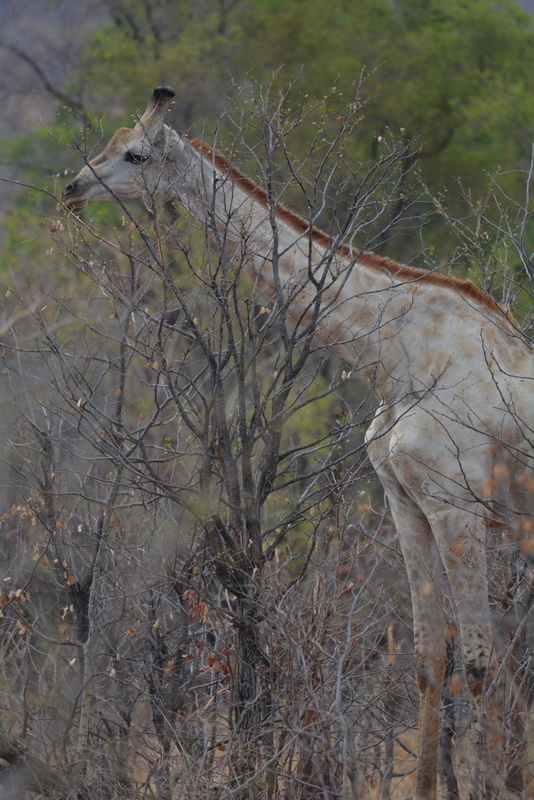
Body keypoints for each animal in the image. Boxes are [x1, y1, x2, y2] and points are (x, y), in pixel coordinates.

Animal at [59, 87, 534, 800]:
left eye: (135, 153)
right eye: (108, 142)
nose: (72, 189)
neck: (395, 357)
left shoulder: (457, 505)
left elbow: (477, 662)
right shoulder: (408, 505)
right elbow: (429, 659)